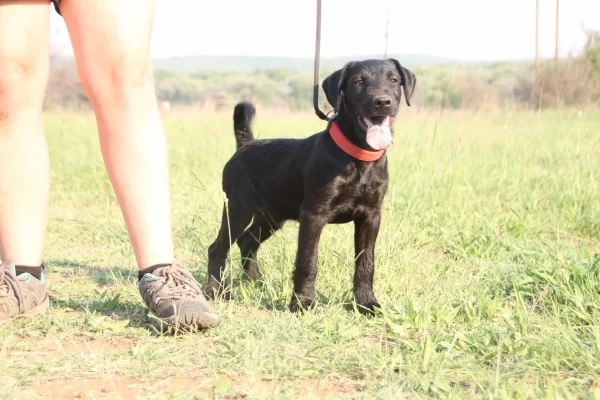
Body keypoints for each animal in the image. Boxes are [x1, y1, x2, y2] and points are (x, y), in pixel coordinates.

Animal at [209, 58, 414, 316]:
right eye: (358, 82)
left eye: (394, 80)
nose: (382, 102)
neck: (357, 156)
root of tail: (246, 145)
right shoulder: (313, 215)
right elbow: (308, 261)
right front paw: (303, 303)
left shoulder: (370, 217)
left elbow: (366, 262)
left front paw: (366, 303)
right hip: (238, 209)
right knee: (218, 247)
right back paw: (216, 291)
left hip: (271, 215)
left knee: (247, 241)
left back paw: (255, 281)